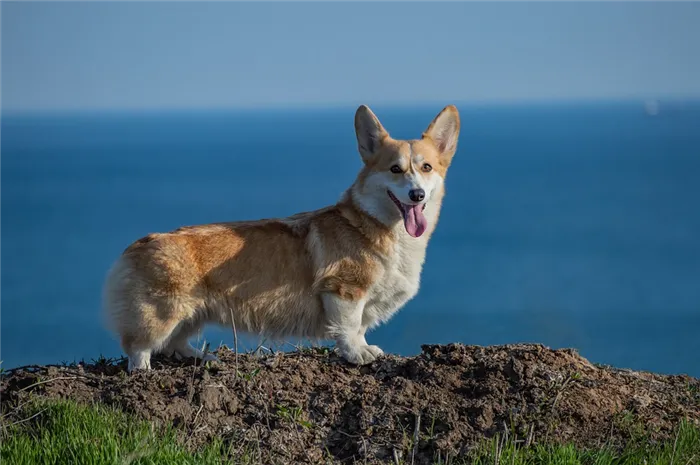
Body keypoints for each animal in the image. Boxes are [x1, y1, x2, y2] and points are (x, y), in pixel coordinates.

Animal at [100, 103, 460, 372]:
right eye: (395, 169)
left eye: (427, 167)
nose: (416, 195)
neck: (377, 226)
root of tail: (139, 244)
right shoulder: (343, 291)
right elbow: (348, 327)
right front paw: (358, 353)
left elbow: (358, 327)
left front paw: (362, 347)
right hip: (162, 312)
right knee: (139, 345)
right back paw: (142, 370)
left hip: (192, 313)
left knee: (174, 343)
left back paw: (200, 356)